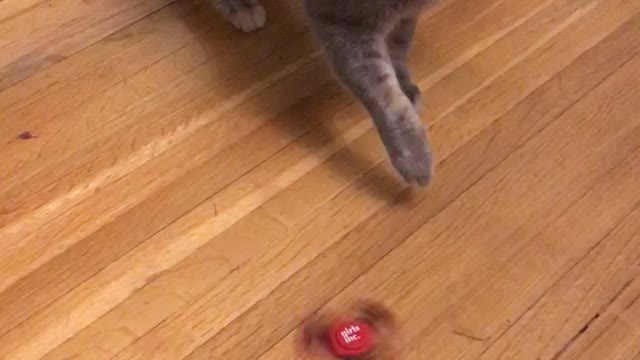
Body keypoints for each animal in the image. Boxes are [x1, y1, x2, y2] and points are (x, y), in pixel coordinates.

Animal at [205, 0, 436, 186]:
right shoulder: (341, 23)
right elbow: (388, 98)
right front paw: (415, 160)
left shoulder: (407, 14)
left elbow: (399, 44)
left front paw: (403, 83)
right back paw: (242, 7)